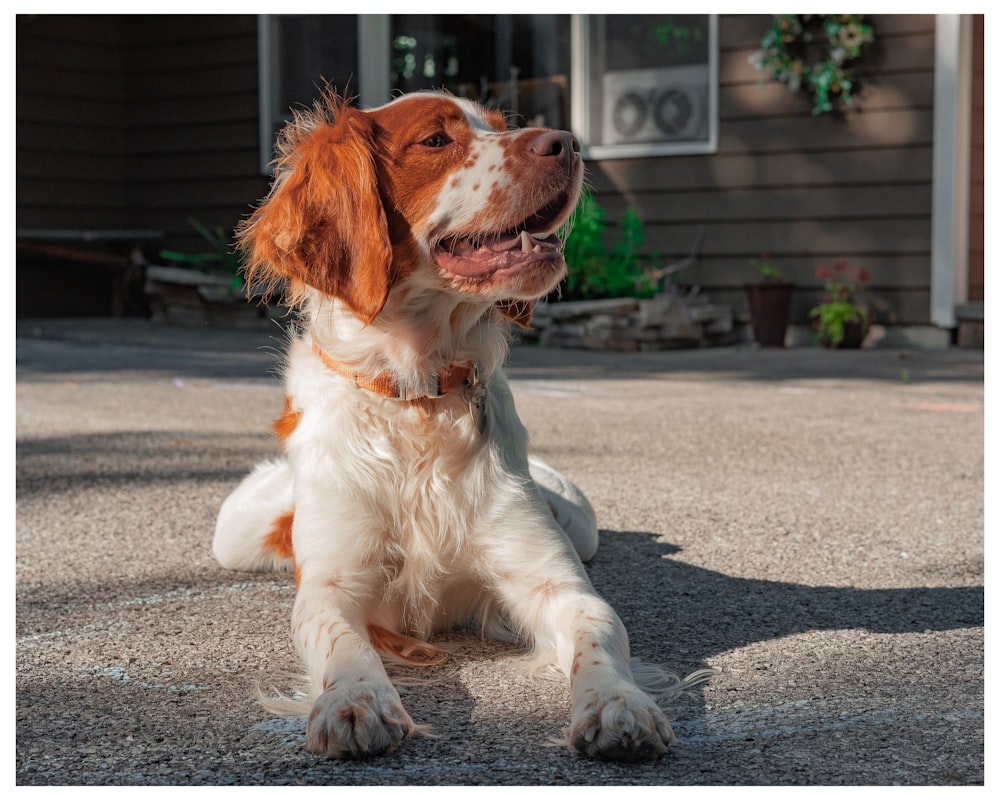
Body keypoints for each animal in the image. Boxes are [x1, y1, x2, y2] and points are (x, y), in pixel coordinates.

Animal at [213, 89, 704, 764]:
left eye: (499, 126)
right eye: (436, 140)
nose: (567, 142)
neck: (419, 398)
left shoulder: (555, 581)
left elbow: (598, 631)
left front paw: (617, 704)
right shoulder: (333, 583)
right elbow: (340, 639)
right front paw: (355, 701)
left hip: (580, 526)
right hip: (235, 534)